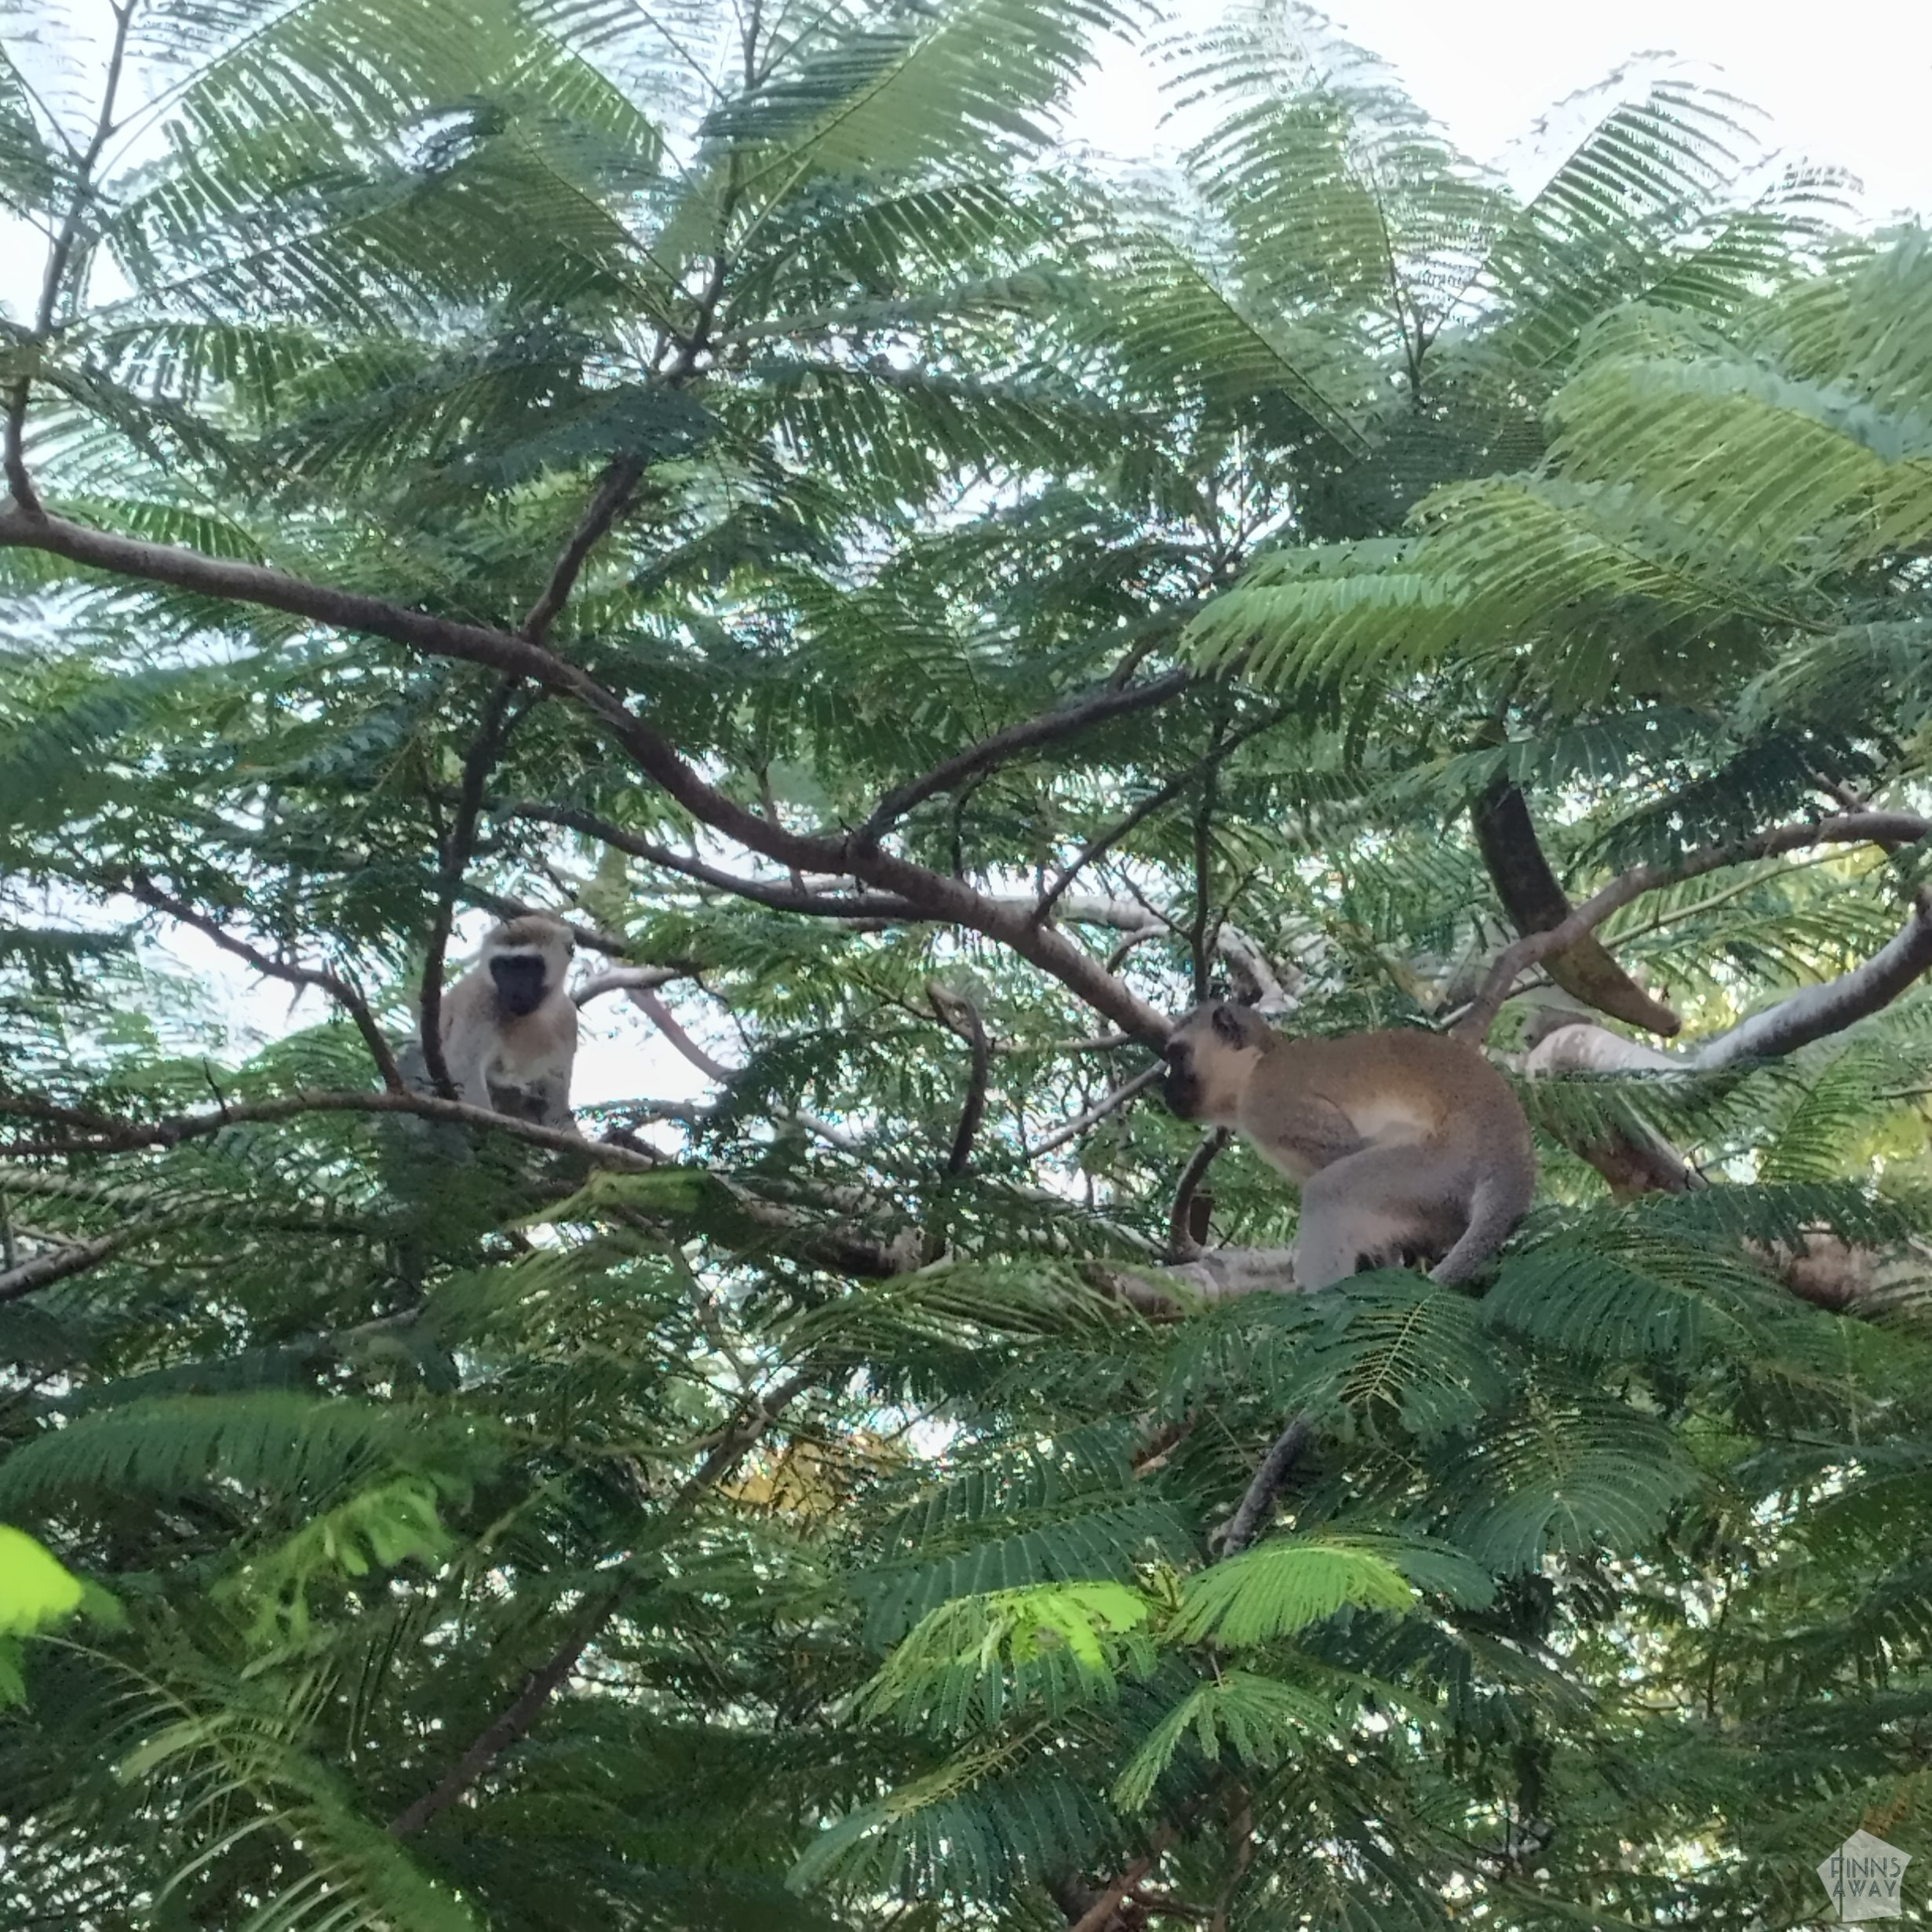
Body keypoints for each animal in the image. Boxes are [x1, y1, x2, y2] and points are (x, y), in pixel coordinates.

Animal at [431, 914, 580, 1131]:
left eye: (526, 966)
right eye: (501, 967)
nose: (513, 990)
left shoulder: (568, 1019)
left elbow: (556, 1097)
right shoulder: (481, 1000)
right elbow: (464, 1066)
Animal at [1161, 1002, 1535, 1290]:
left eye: (1178, 1056)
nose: (1167, 1088)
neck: (1254, 1065)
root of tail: (1513, 1158)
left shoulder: (1268, 1099)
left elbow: (1347, 1145)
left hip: (1446, 1166)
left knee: (1331, 1190)